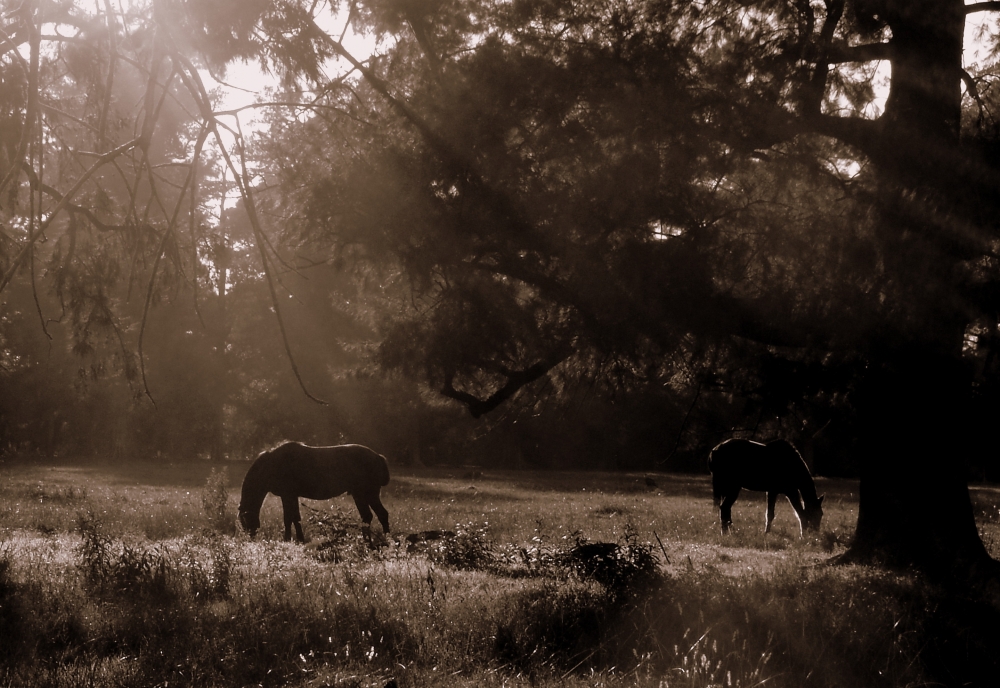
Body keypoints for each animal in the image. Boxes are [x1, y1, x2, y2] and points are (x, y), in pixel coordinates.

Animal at [236, 440, 388, 544]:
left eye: (245, 522)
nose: (250, 540)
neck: (272, 464)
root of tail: (378, 456)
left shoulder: (288, 495)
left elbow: (289, 519)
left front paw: (289, 540)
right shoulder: (291, 496)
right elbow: (294, 518)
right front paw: (298, 540)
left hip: (366, 494)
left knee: (378, 515)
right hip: (361, 495)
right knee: (370, 516)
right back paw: (370, 542)